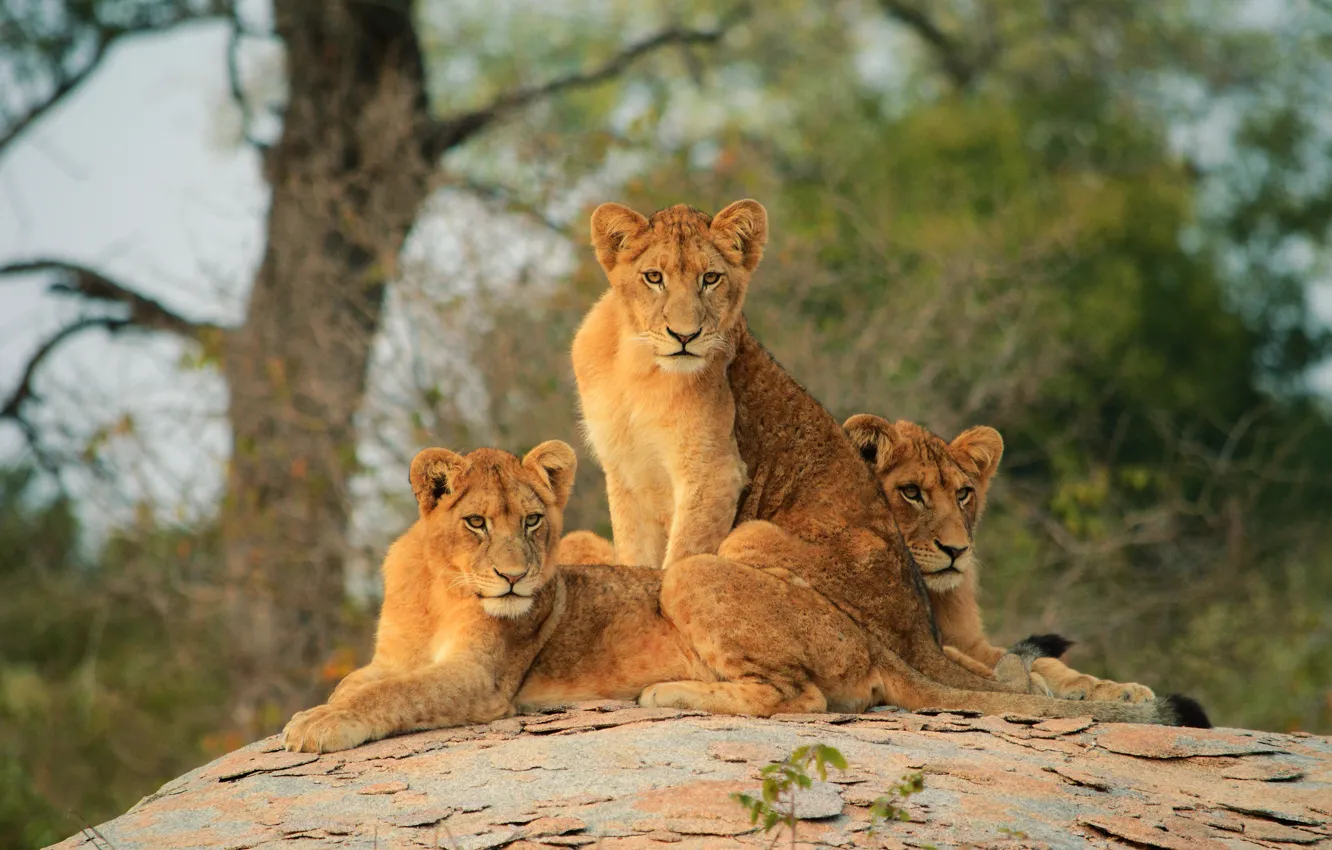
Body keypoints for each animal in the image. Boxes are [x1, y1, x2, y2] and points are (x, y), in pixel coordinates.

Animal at [843, 415, 1156, 703]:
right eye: (911, 492)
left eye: (962, 494)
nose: (956, 550)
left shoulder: (969, 641)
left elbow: (1033, 660)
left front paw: (1118, 690)